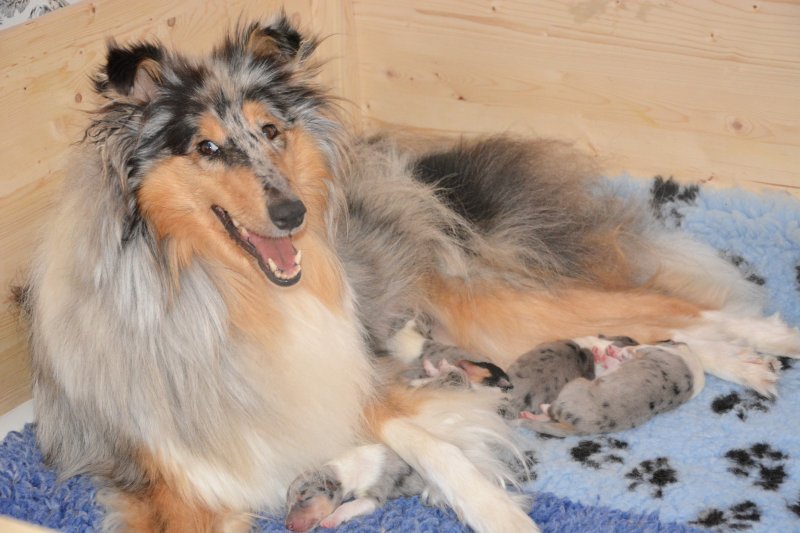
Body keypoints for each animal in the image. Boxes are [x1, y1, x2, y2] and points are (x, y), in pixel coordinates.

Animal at [19, 12, 800, 533]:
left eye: (270, 132)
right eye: (208, 148)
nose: (292, 212)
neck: (228, 300)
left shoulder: (361, 370)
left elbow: (437, 446)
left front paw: (502, 516)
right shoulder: (173, 486)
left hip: (491, 305)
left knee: (664, 306)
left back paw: (767, 343)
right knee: (645, 329)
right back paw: (742, 364)